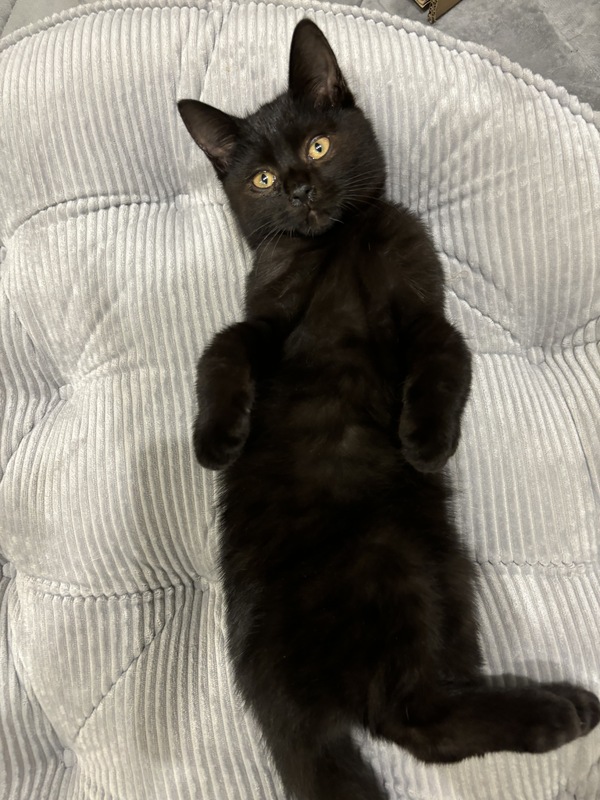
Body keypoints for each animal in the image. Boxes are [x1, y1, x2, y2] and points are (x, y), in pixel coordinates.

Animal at [178, 19, 600, 800]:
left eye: (318, 145)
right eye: (260, 179)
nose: (300, 188)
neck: (337, 241)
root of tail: (271, 692)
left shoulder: (419, 301)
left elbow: (445, 351)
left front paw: (425, 439)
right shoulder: (266, 313)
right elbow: (223, 344)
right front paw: (215, 441)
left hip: (441, 566)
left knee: (425, 715)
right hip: (396, 568)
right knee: (415, 719)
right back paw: (556, 711)